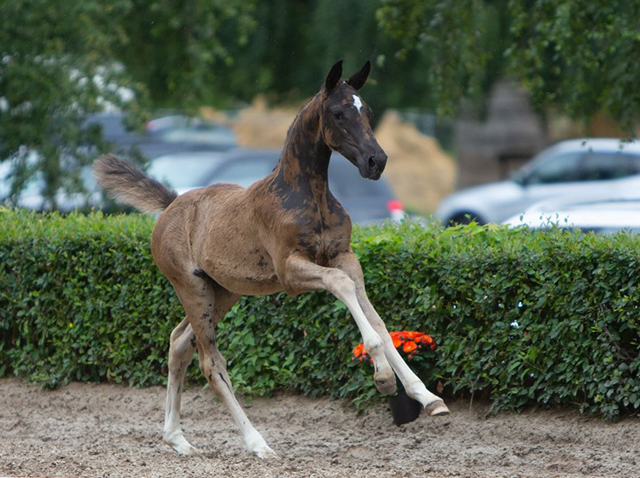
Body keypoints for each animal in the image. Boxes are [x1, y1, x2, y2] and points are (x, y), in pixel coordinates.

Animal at [95, 60, 448, 460]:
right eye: (338, 113)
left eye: (368, 111)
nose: (377, 161)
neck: (307, 196)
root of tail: (171, 205)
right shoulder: (291, 271)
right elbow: (342, 289)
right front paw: (384, 378)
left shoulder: (345, 257)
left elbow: (379, 322)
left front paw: (426, 396)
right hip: (191, 287)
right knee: (210, 362)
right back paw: (257, 443)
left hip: (223, 292)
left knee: (179, 342)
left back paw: (177, 438)